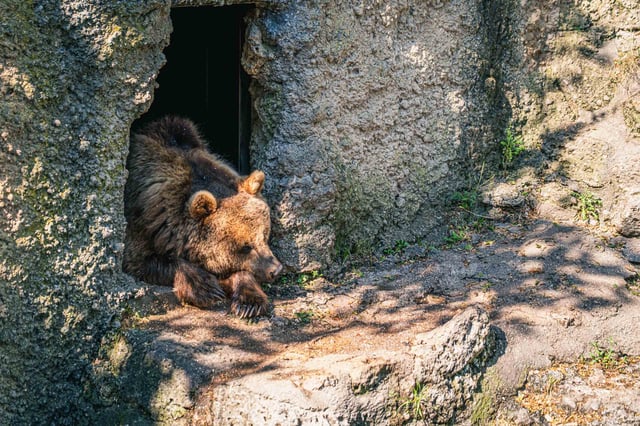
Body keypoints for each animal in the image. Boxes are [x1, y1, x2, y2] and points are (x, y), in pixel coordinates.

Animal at [123, 115, 282, 318]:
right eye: (246, 246)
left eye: (264, 235)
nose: (275, 270)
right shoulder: (142, 225)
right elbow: (145, 260)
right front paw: (206, 288)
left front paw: (249, 302)